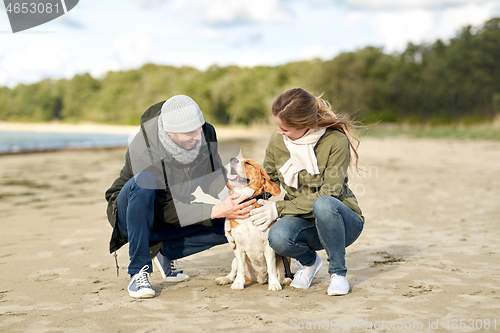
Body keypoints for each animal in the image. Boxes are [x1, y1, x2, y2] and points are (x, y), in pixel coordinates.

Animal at [216, 157, 292, 290]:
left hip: (285, 256)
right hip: (234, 260)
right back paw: (225, 279)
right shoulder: (237, 247)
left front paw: (274, 284)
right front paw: (238, 283)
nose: (232, 159)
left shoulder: (268, 247)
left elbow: (272, 268)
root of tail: (260, 279)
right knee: (233, 271)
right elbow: (240, 269)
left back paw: (284, 280)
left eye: (248, 163)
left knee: (281, 272)